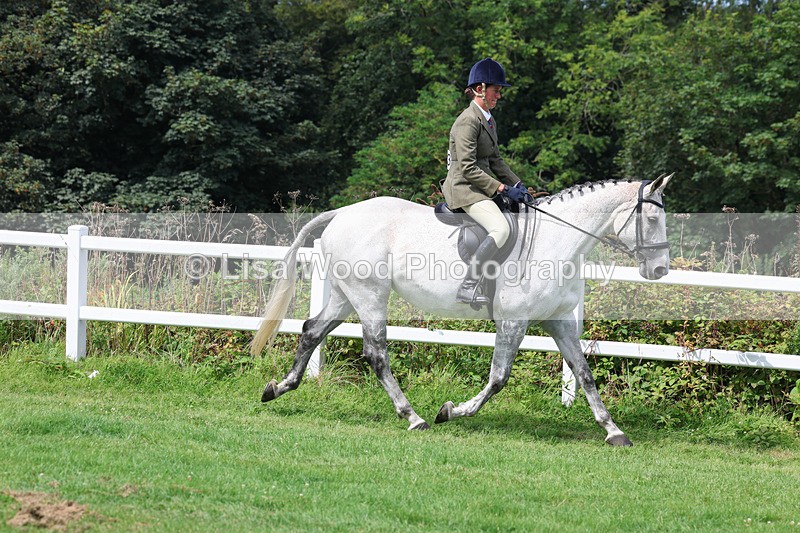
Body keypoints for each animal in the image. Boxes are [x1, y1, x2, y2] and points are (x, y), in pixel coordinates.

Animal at [251, 175, 673, 446]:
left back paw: (278, 388)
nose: (659, 270)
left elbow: (584, 374)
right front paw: (450, 411)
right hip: (369, 294)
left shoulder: (560, 321)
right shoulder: (513, 321)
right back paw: (414, 417)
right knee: (376, 353)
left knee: (312, 329)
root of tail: (342, 213)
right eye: (652, 218)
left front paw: (613, 431)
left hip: (345, 294)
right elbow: (499, 378)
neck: (557, 241)